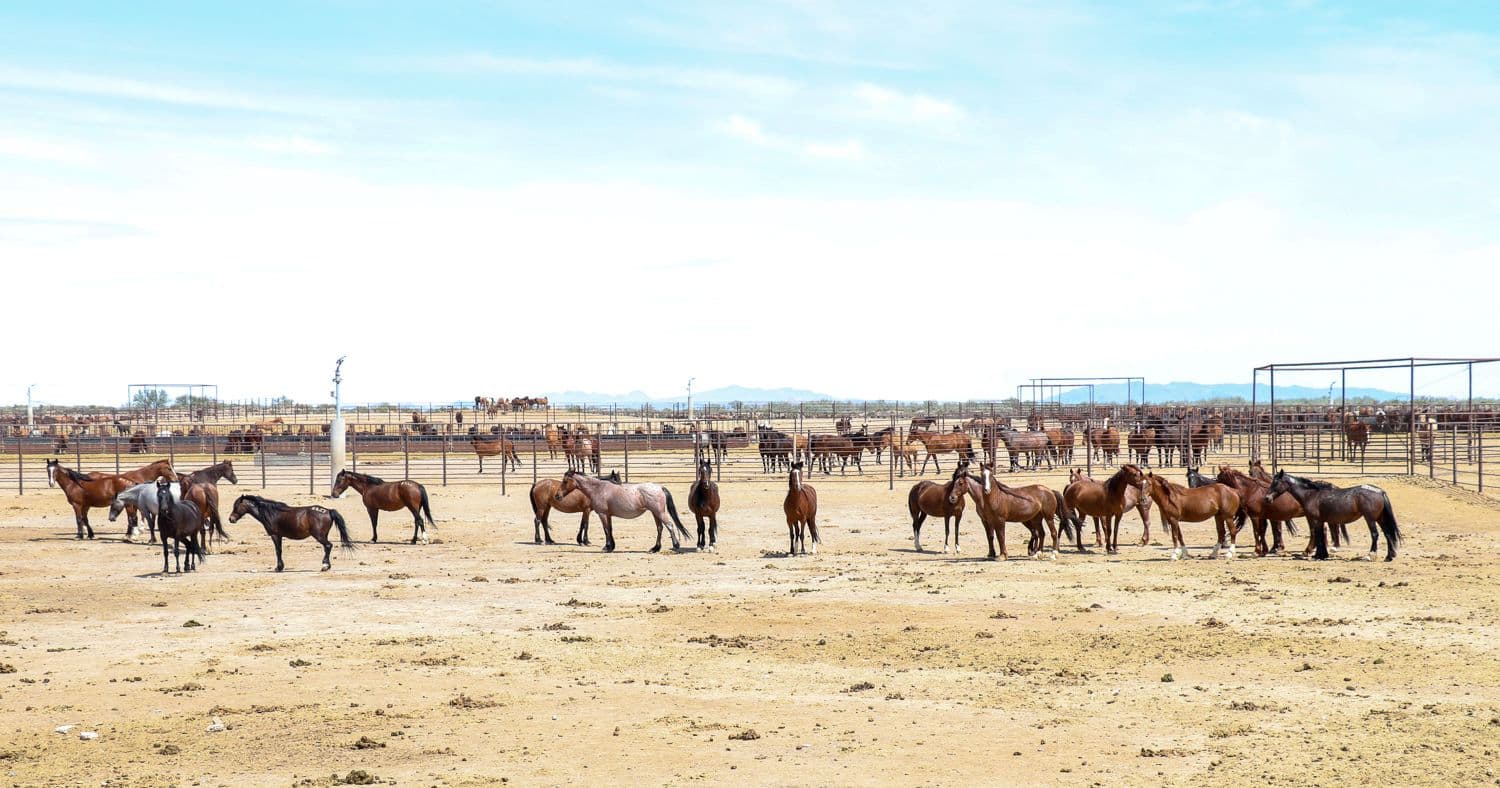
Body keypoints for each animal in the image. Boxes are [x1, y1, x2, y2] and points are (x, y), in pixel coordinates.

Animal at [554, 471, 689, 553]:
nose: (557, 496)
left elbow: (606, 529)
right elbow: (610, 529)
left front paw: (607, 547)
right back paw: (655, 548)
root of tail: (660, 487)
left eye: (565, 481)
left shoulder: (602, 514)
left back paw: (676, 546)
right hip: (655, 513)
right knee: (660, 528)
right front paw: (611, 546)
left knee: (669, 525)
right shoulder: (608, 515)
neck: (598, 489)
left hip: (659, 512)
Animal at [1264, 471, 1401, 561]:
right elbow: (1320, 535)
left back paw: (1370, 555)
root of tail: (1380, 492)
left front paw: (1319, 555)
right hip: (1380, 518)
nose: (1267, 498)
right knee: (1388, 534)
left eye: (1275, 483)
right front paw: (1320, 555)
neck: (1311, 495)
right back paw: (1389, 556)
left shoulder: (1315, 520)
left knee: (1375, 534)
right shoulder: (1320, 520)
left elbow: (1318, 535)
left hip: (1370, 519)